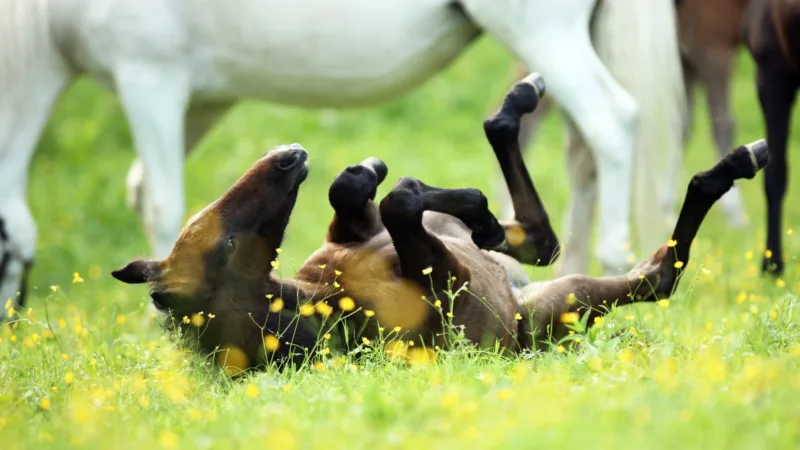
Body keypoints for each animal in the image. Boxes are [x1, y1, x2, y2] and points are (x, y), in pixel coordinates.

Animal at [0, 0, 680, 314]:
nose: (12, 330)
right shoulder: (203, 99)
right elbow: (153, 193)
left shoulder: (149, 74)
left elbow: (163, 201)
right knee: (577, 153)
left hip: (543, 31)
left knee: (612, 124)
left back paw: (611, 258)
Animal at [109, 74, 764, 372]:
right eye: (226, 242)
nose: (287, 156)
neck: (326, 300)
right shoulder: (452, 287)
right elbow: (402, 202)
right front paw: (467, 204)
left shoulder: (353, 233)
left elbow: (356, 191)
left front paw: (367, 168)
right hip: (564, 303)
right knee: (656, 272)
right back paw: (732, 165)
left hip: (524, 275)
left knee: (538, 237)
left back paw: (515, 105)